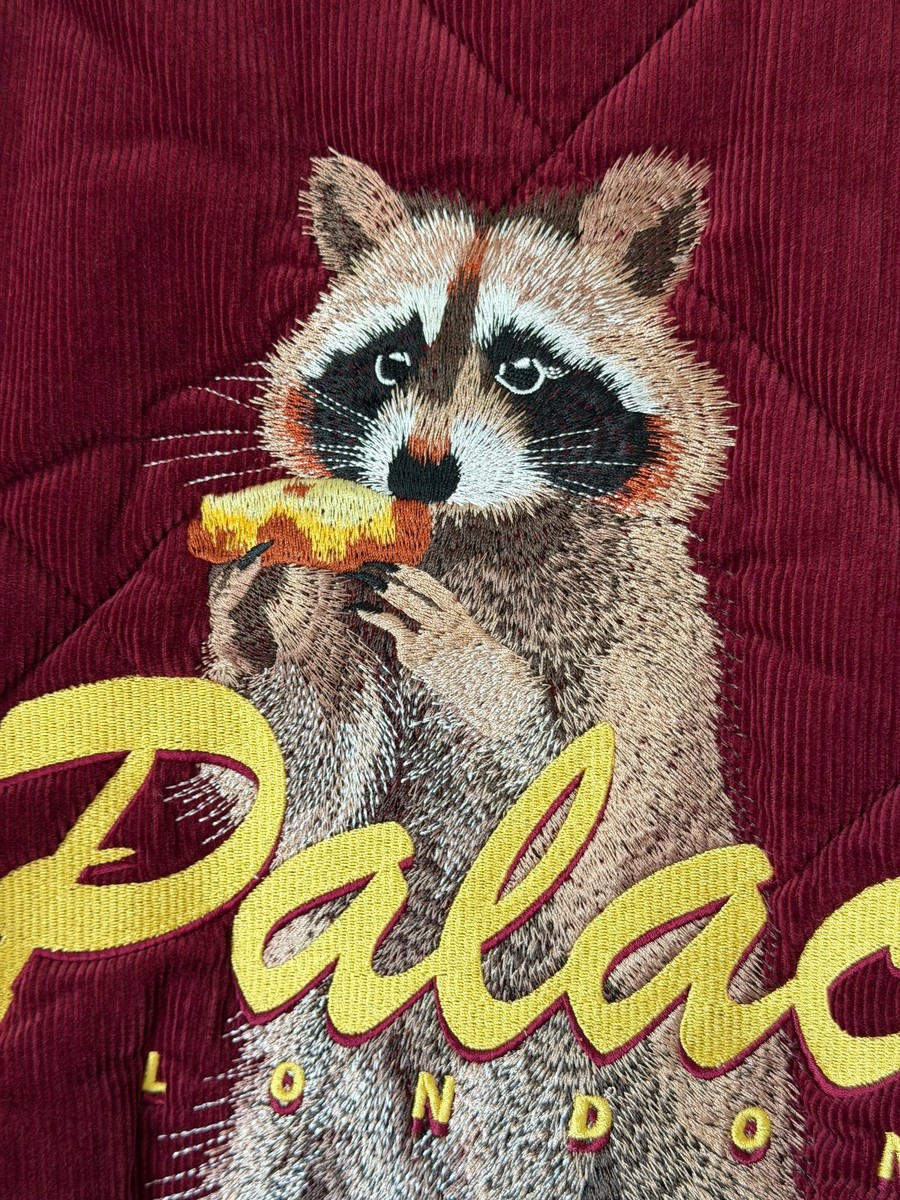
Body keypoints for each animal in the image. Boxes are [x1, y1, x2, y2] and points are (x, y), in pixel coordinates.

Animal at [190, 152, 804, 1199]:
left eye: (523, 368)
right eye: (391, 362)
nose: (418, 472)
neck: (466, 534)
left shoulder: (650, 636)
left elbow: (579, 819)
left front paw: (477, 673)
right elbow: (317, 790)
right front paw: (261, 614)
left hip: (630, 1090)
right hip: (318, 1090)